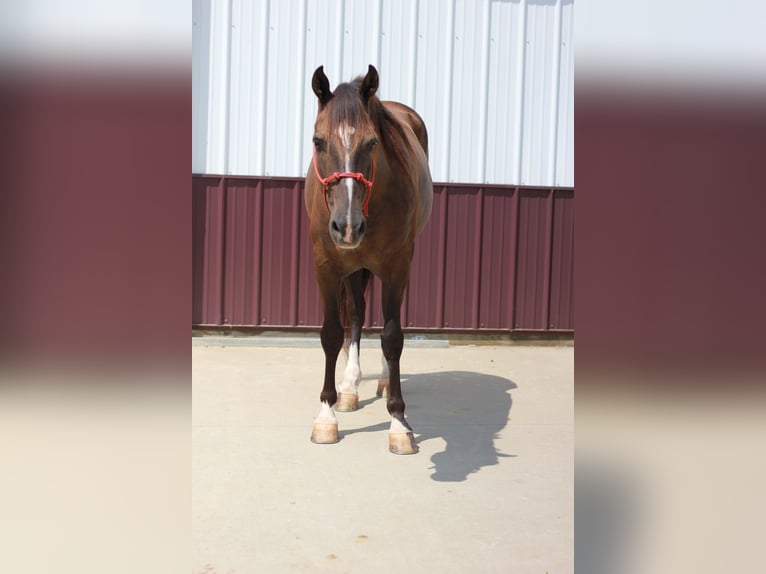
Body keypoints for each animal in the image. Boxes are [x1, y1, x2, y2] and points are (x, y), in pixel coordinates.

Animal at [304, 65, 433, 454]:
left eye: (372, 143)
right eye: (318, 141)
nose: (347, 226)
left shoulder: (396, 265)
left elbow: (392, 336)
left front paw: (399, 423)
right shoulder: (326, 265)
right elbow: (332, 333)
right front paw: (326, 416)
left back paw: (385, 381)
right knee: (358, 314)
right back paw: (349, 386)